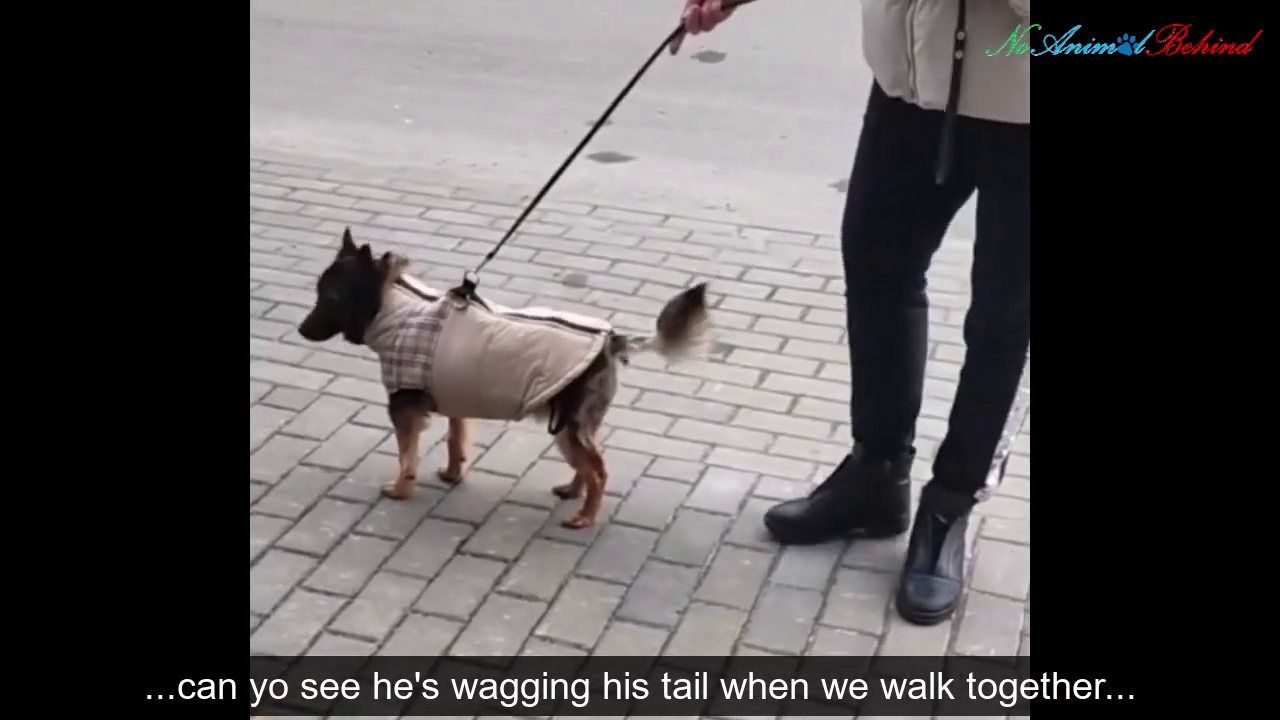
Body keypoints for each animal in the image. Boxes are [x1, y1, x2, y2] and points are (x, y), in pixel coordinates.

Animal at [297, 227, 711, 529]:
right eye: (318, 292)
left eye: (331, 298)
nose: (301, 330)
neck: (395, 309)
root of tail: (612, 341)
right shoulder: (455, 399)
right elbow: (455, 440)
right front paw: (452, 474)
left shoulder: (405, 410)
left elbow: (406, 456)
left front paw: (401, 488)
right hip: (571, 428)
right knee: (588, 464)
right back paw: (572, 492)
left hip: (567, 427)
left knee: (599, 473)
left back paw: (585, 517)